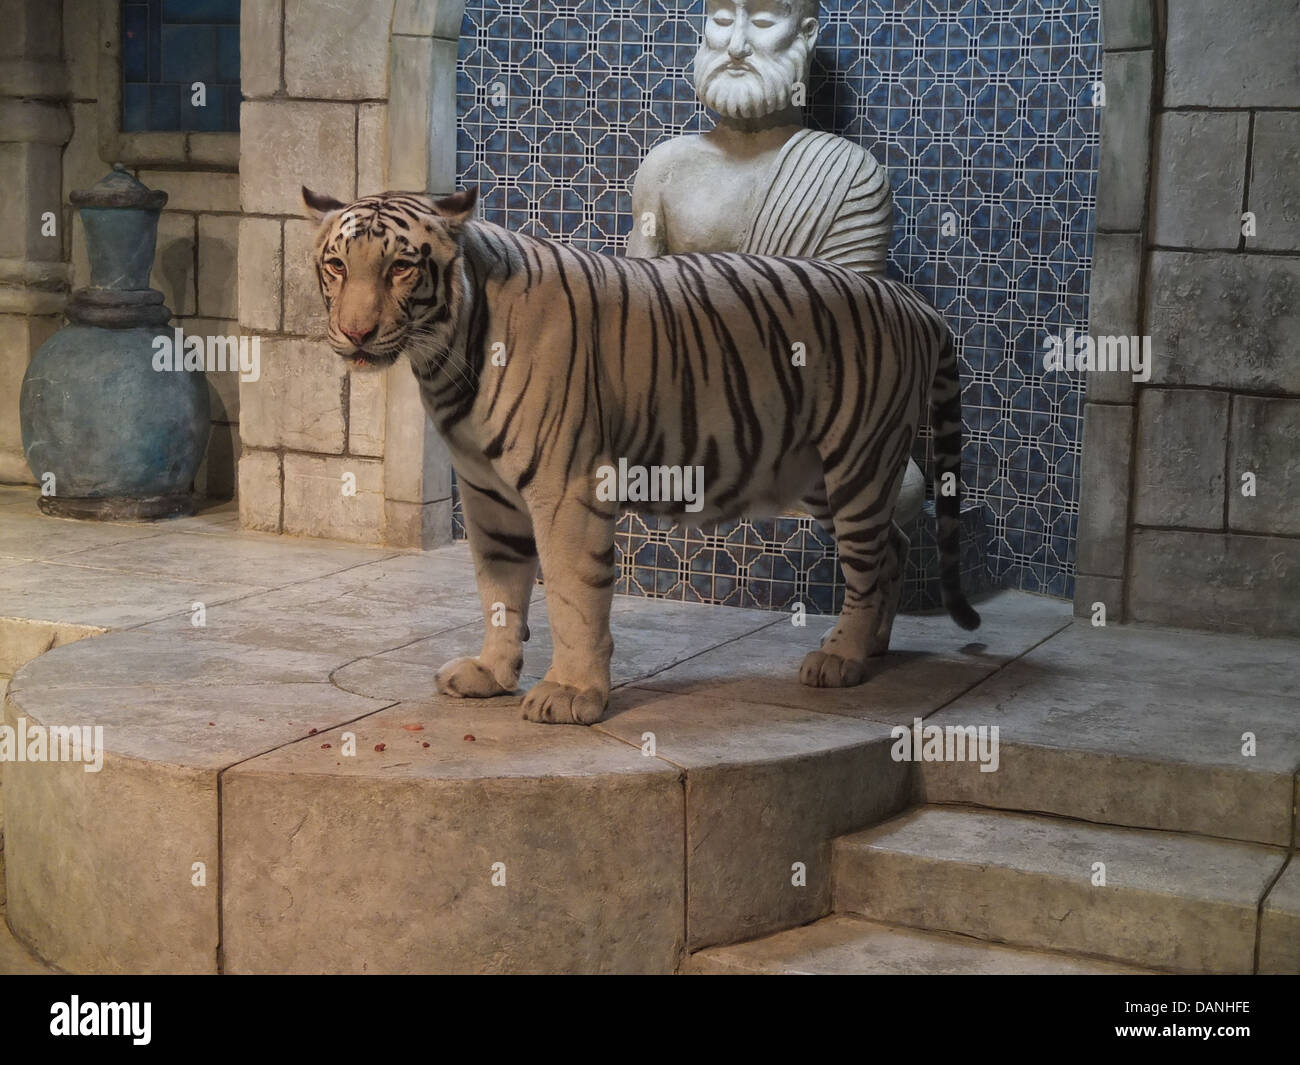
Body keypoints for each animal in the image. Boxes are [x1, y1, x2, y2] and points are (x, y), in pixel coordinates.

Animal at [302, 185, 980, 725]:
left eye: (400, 268)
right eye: (336, 264)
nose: (356, 334)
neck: (446, 357)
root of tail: (915, 304)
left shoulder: (565, 487)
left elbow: (572, 594)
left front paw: (570, 694)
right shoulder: (487, 495)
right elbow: (498, 589)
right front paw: (492, 674)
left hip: (857, 459)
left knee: (869, 563)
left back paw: (841, 657)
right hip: (818, 472)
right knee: (893, 547)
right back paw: (873, 649)